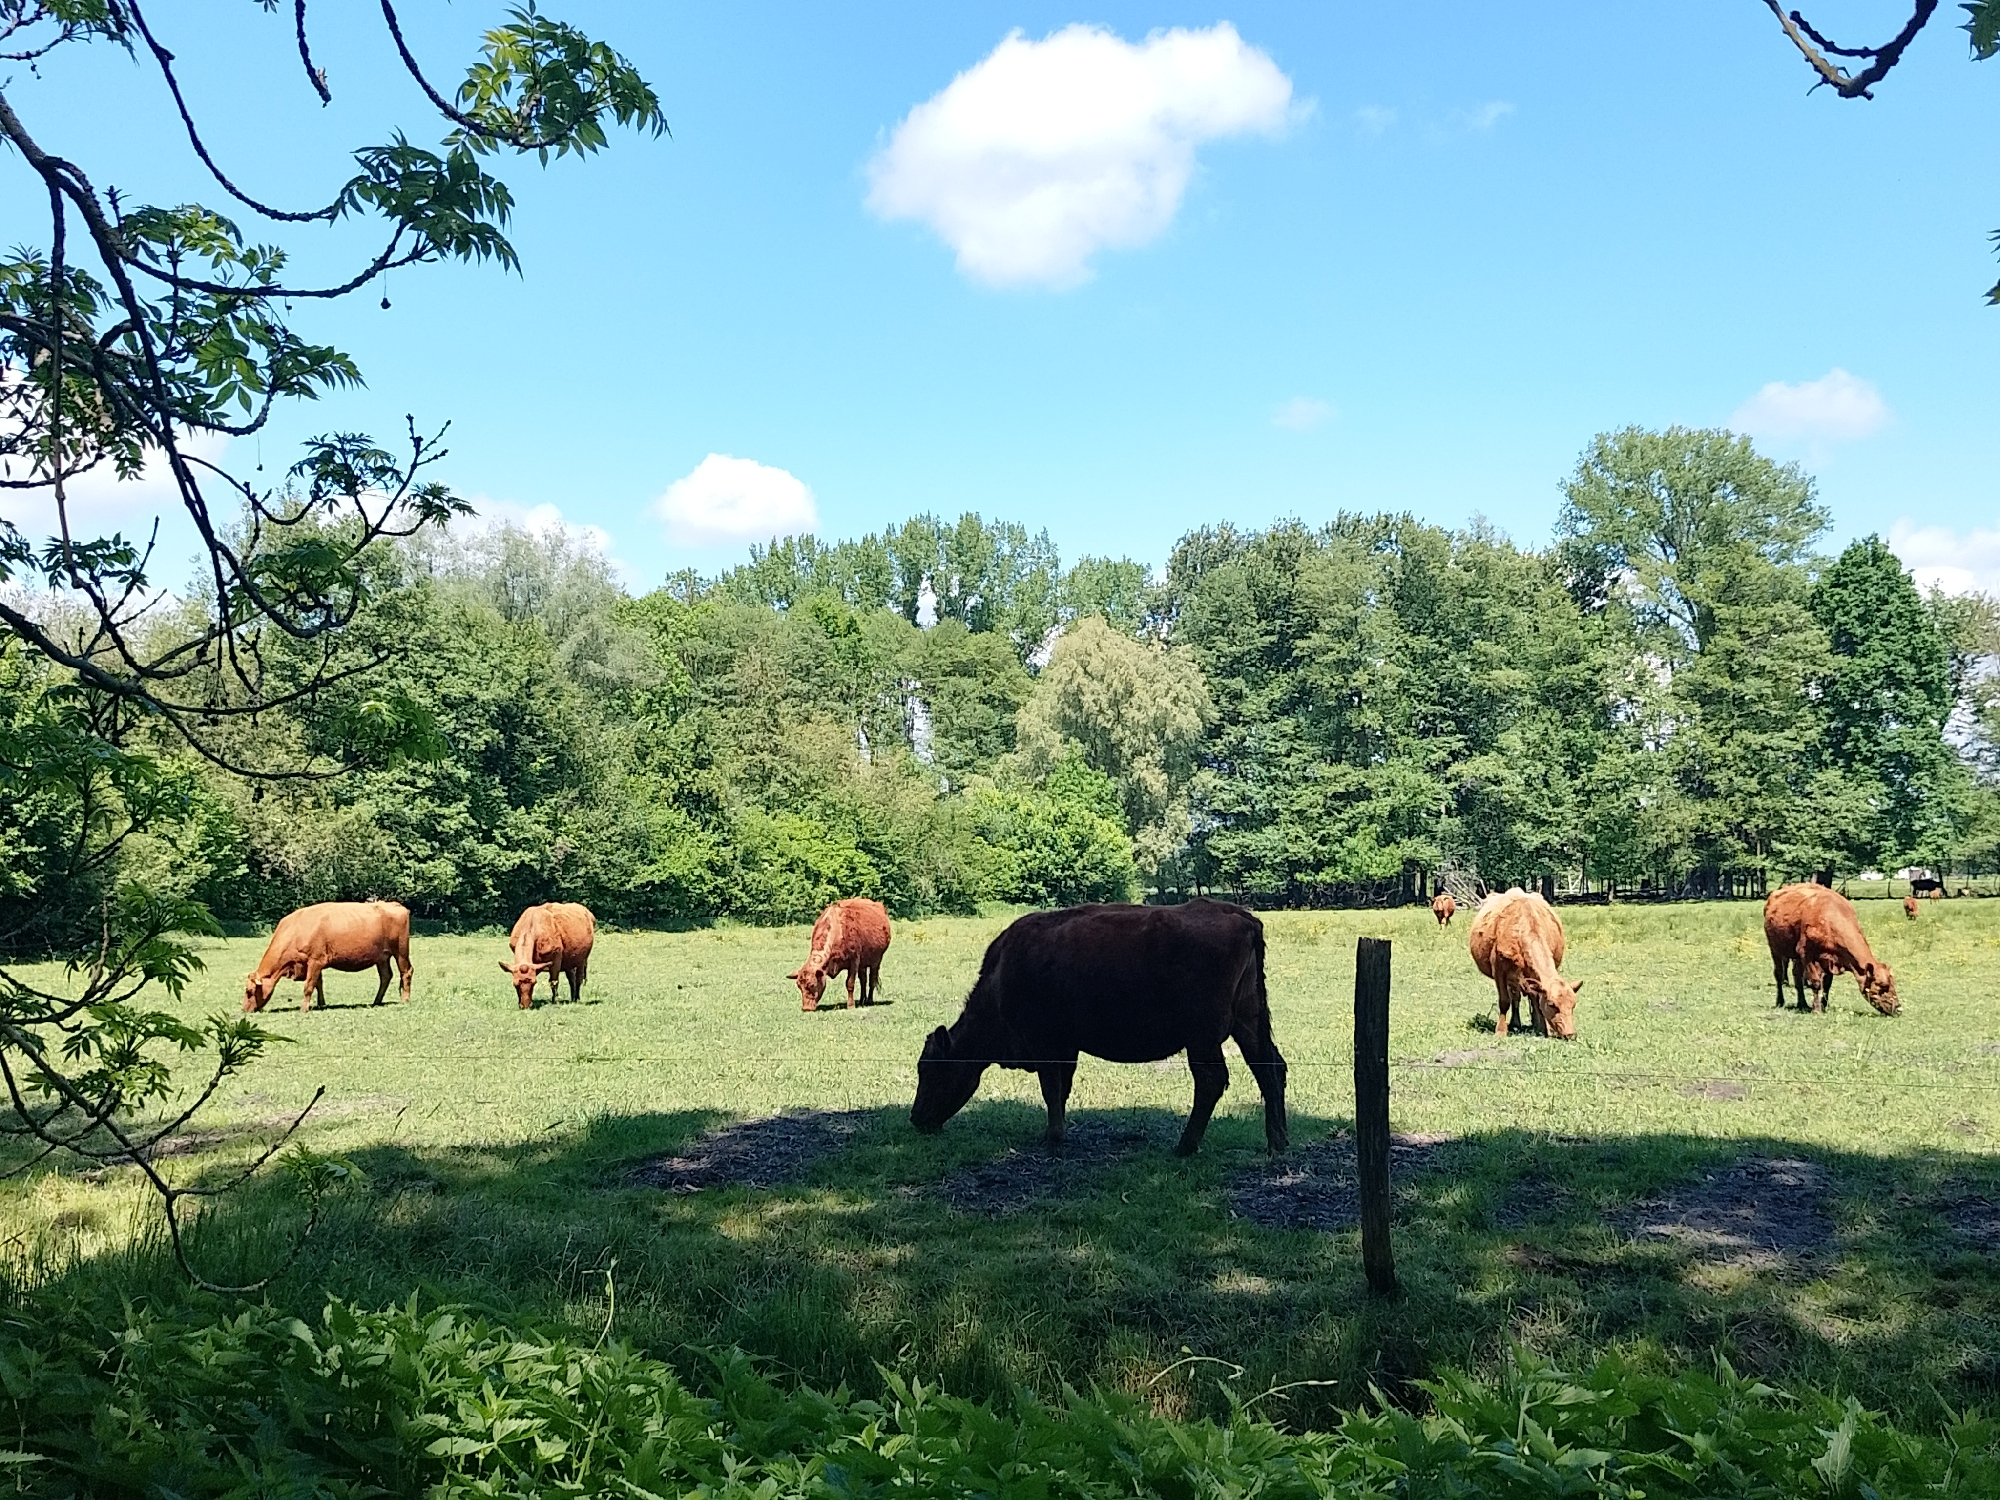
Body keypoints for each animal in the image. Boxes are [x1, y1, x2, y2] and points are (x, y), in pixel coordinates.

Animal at [243, 901, 412, 1013]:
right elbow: (318, 983)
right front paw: (321, 1004)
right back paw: (376, 1001)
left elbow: (309, 986)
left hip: (401, 952)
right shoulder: (313, 964)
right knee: (386, 976)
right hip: (382, 957)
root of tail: (394, 904)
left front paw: (304, 1009)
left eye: (249, 991)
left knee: (406, 972)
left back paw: (405, 1000)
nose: (244, 1009)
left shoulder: (316, 960)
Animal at [910, 899, 1287, 1158]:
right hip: (1247, 1023)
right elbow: (1061, 1090)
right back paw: (1278, 1144)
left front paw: (1053, 1139)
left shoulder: (1046, 1044)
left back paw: (1184, 1146)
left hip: (1202, 1038)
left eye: (931, 1070)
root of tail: (1241, 917)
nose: (916, 1119)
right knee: (1271, 1068)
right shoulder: (1066, 1047)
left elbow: (1051, 1090)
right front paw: (1053, 1134)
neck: (1002, 976)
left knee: (1211, 1080)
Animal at [1468, 888, 1581, 1040]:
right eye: (1551, 1004)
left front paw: (1541, 1028)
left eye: (1573, 1005)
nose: (1570, 1034)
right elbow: (1504, 1001)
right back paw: (1515, 1023)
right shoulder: (1499, 970)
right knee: (1515, 997)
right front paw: (1501, 1031)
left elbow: (1536, 998)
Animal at [1764, 883, 1899, 1016]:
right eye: (1883, 986)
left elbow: (1827, 984)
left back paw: (1802, 1004)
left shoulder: (1830, 960)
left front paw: (1824, 1006)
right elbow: (1816, 982)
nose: (1898, 1008)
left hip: (1796, 957)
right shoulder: (1806, 954)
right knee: (1779, 974)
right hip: (1775, 949)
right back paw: (1780, 1002)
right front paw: (1816, 1009)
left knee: (1797, 976)